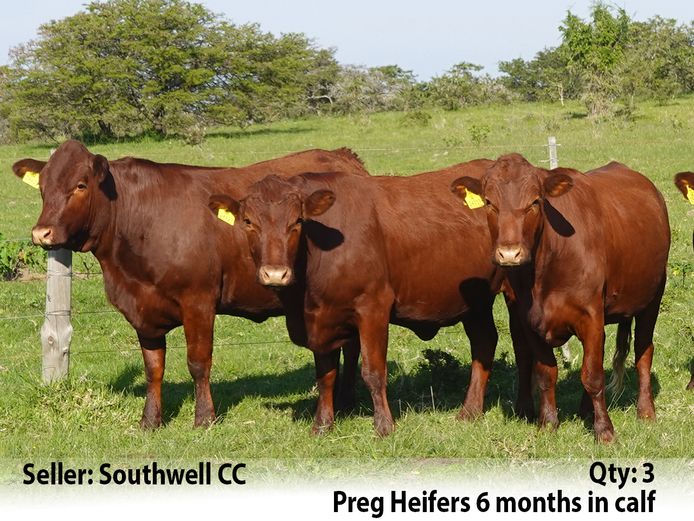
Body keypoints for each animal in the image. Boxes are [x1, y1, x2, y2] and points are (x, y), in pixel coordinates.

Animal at [12, 140, 370, 428]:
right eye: (43, 186)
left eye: (80, 185)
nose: (41, 233)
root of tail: (342, 156)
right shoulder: (142, 308)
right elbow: (153, 366)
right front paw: (150, 420)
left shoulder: (198, 300)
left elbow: (198, 362)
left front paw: (204, 418)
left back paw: (346, 399)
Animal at [206, 160, 520, 437]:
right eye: (248, 222)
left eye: (297, 221)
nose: (275, 274)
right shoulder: (320, 319)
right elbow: (325, 375)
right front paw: (322, 426)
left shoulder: (373, 307)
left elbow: (373, 371)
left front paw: (384, 426)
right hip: (476, 302)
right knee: (484, 342)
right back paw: (471, 411)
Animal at [452, 154, 670, 442]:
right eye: (489, 203)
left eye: (535, 202)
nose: (509, 254)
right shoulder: (528, 319)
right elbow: (547, 373)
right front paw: (548, 424)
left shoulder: (590, 316)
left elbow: (593, 376)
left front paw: (605, 431)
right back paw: (585, 411)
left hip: (652, 298)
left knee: (643, 351)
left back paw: (645, 411)